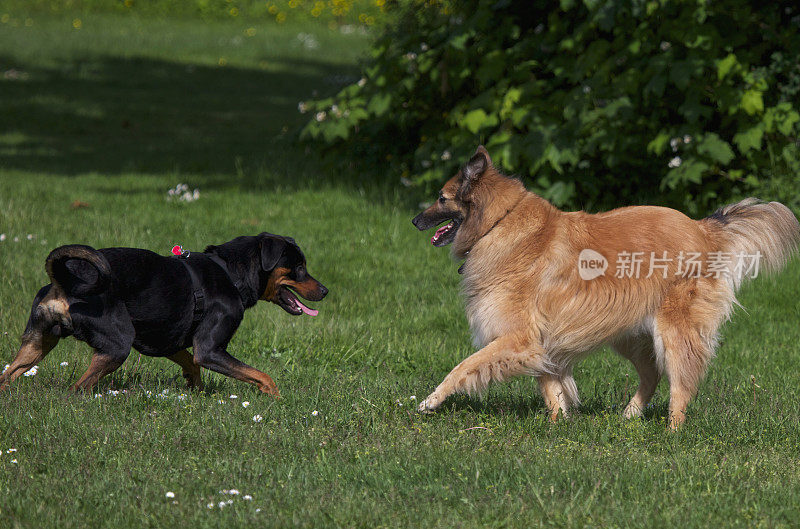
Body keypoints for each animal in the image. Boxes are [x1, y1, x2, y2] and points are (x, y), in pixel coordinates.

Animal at [0, 233, 328, 394]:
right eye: (299, 268)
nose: (325, 290)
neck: (230, 272)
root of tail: (64, 280)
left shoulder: (165, 341)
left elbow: (191, 365)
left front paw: (197, 393)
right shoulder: (210, 350)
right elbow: (263, 376)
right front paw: (277, 399)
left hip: (37, 343)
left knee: (9, 374)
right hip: (117, 344)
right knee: (77, 388)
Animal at [412, 146, 800, 426]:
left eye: (441, 198)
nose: (414, 220)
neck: (499, 222)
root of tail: (703, 228)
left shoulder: (517, 337)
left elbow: (463, 366)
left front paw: (431, 401)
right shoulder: (536, 343)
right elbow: (550, 386)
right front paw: (559, 425)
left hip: (673, 331)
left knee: (681, 384)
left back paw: (672, 431)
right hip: (630, 334)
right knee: (653, 374)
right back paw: (630, 415)